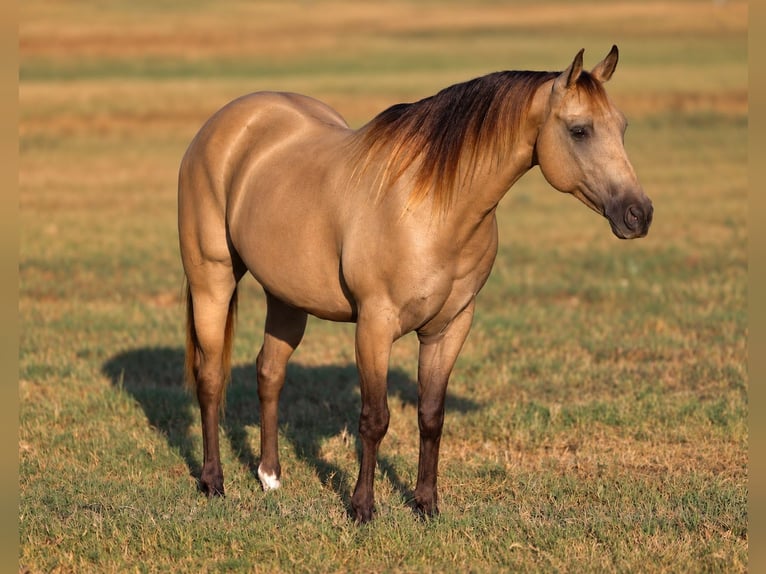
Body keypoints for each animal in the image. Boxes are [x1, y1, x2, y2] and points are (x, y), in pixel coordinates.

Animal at [178, 45, 653, 523]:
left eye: (623, 126)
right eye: (579, 130)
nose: (639, 214)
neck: (433, 207)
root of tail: (226, 123)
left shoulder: (450, 327)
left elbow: (431, 416)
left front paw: (426, 504)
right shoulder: (375, 325)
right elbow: (375, 419)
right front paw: (362, 508)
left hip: (287, 297)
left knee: (269, 373)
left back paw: (270, 477)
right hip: (212, 279)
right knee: (211, 376)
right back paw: (213, 481)